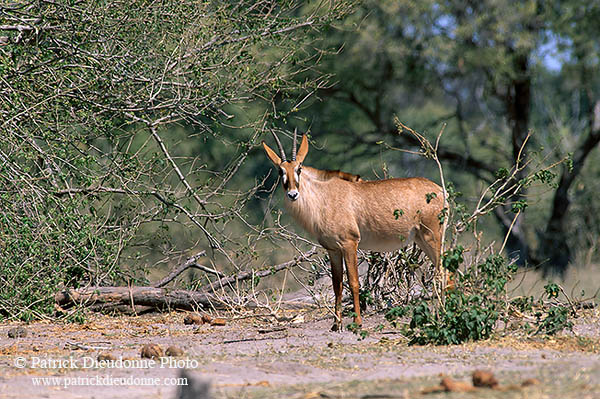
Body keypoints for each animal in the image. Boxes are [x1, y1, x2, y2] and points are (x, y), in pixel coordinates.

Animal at [262, 131, 446, 332]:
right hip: (421, 239)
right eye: (280, 171)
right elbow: (337, 285)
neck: (323, 197)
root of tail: (440, 191)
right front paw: (336, 324)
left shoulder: (349, 243)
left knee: (443, 271)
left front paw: (357, 322)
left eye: (299, 169)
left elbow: (354, 282)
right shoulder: (333, 249)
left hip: (432, 237)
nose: (293, 194)